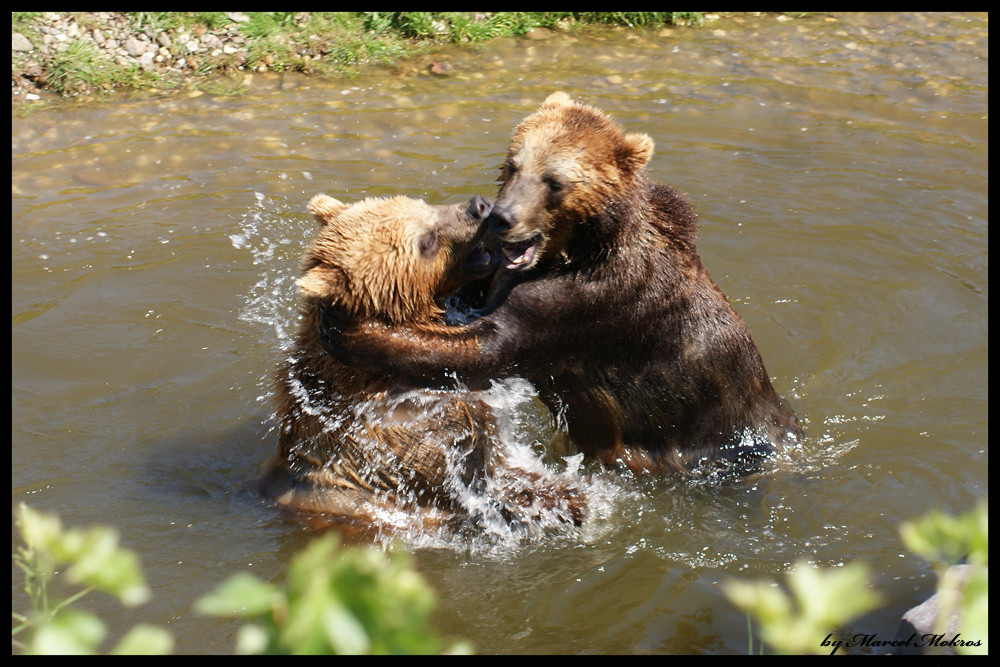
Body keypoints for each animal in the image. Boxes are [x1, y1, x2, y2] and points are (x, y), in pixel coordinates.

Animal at [260, 193, 584, 536]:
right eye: (425, 241)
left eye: (421, 204)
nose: (478, 206)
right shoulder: (400, 446)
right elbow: (466, 480)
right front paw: (556, 501)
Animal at [320, 94, 804, 478]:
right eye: (513, 164)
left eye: (554, 180)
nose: (500, 217)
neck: (577, 248)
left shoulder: (595, 301)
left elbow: (492, 346)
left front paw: (348, 327)